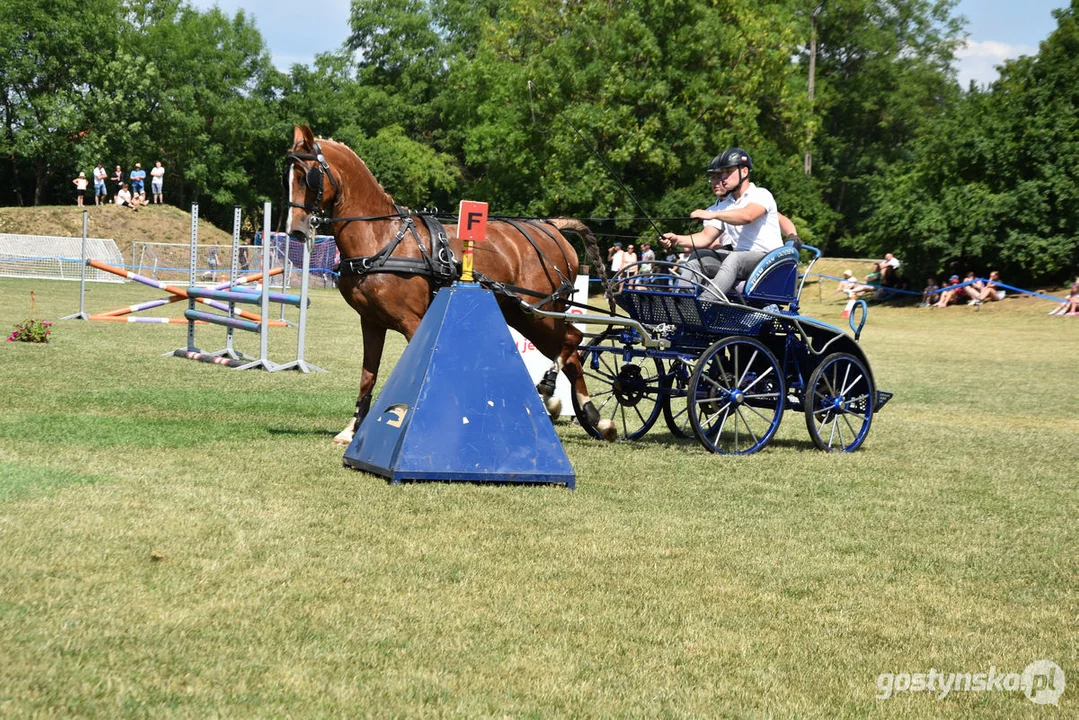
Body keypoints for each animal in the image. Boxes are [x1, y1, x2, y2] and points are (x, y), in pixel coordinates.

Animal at [282, 124, 617, 444]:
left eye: (307, 177)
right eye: (287, 178)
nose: (295, 229)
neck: (382, 238)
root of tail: (551, 227)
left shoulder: (414, 321)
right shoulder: (372, 322)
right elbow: (368, 374)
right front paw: (352, 428)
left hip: (540, 311)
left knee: (572, 341)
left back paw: (561, 398)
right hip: (521, 314)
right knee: (570, 348)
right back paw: (590, 415)